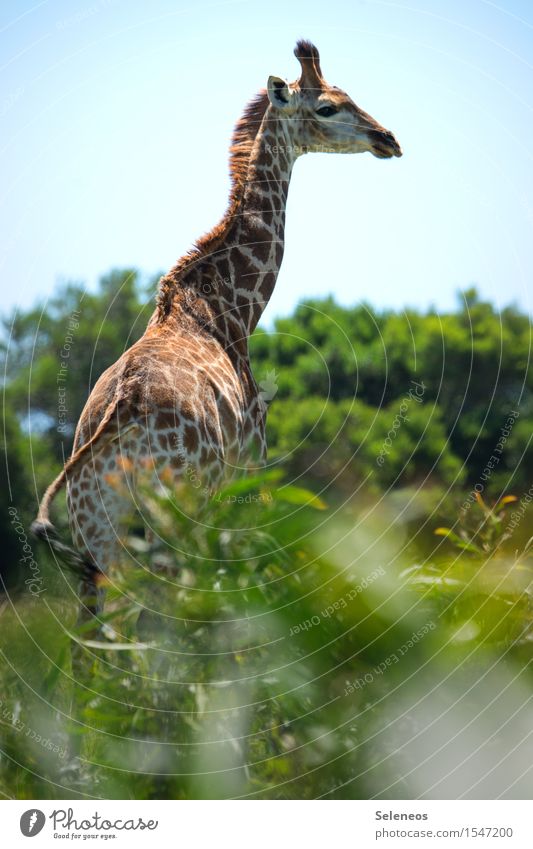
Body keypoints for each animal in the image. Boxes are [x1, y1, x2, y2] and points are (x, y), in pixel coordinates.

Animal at [32, 39, 400, 624]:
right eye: (327, 107)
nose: (388, 139)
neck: (228, 307)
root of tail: (120, 416)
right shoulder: (250, 467)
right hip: (175, 513)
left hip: (97, 534)